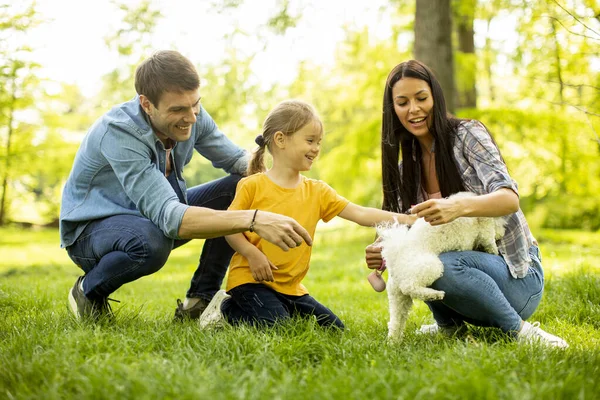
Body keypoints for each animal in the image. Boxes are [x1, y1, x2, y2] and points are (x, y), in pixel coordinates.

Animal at [376, 192, 506, 342]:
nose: (502, 232)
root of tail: (395, 260)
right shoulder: (482, 231)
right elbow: (488, 240)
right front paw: (494, 251)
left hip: (397, 296)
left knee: (395, 321)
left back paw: (393, 342)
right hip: (431, 266)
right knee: (410, 287)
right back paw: (435, 295)